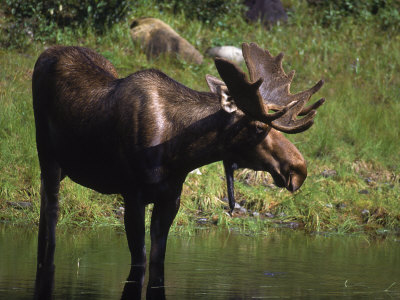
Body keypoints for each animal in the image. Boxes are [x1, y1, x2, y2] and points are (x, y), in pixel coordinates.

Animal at [31, 42, 324, 298]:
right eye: (259, 128)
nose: (299, 169)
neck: (180, 153)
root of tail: (44, 54)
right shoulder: (132, 194)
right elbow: (140, 261)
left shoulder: (171, 198)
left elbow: (158, 261)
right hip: (47, 154)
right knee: (51, 212)